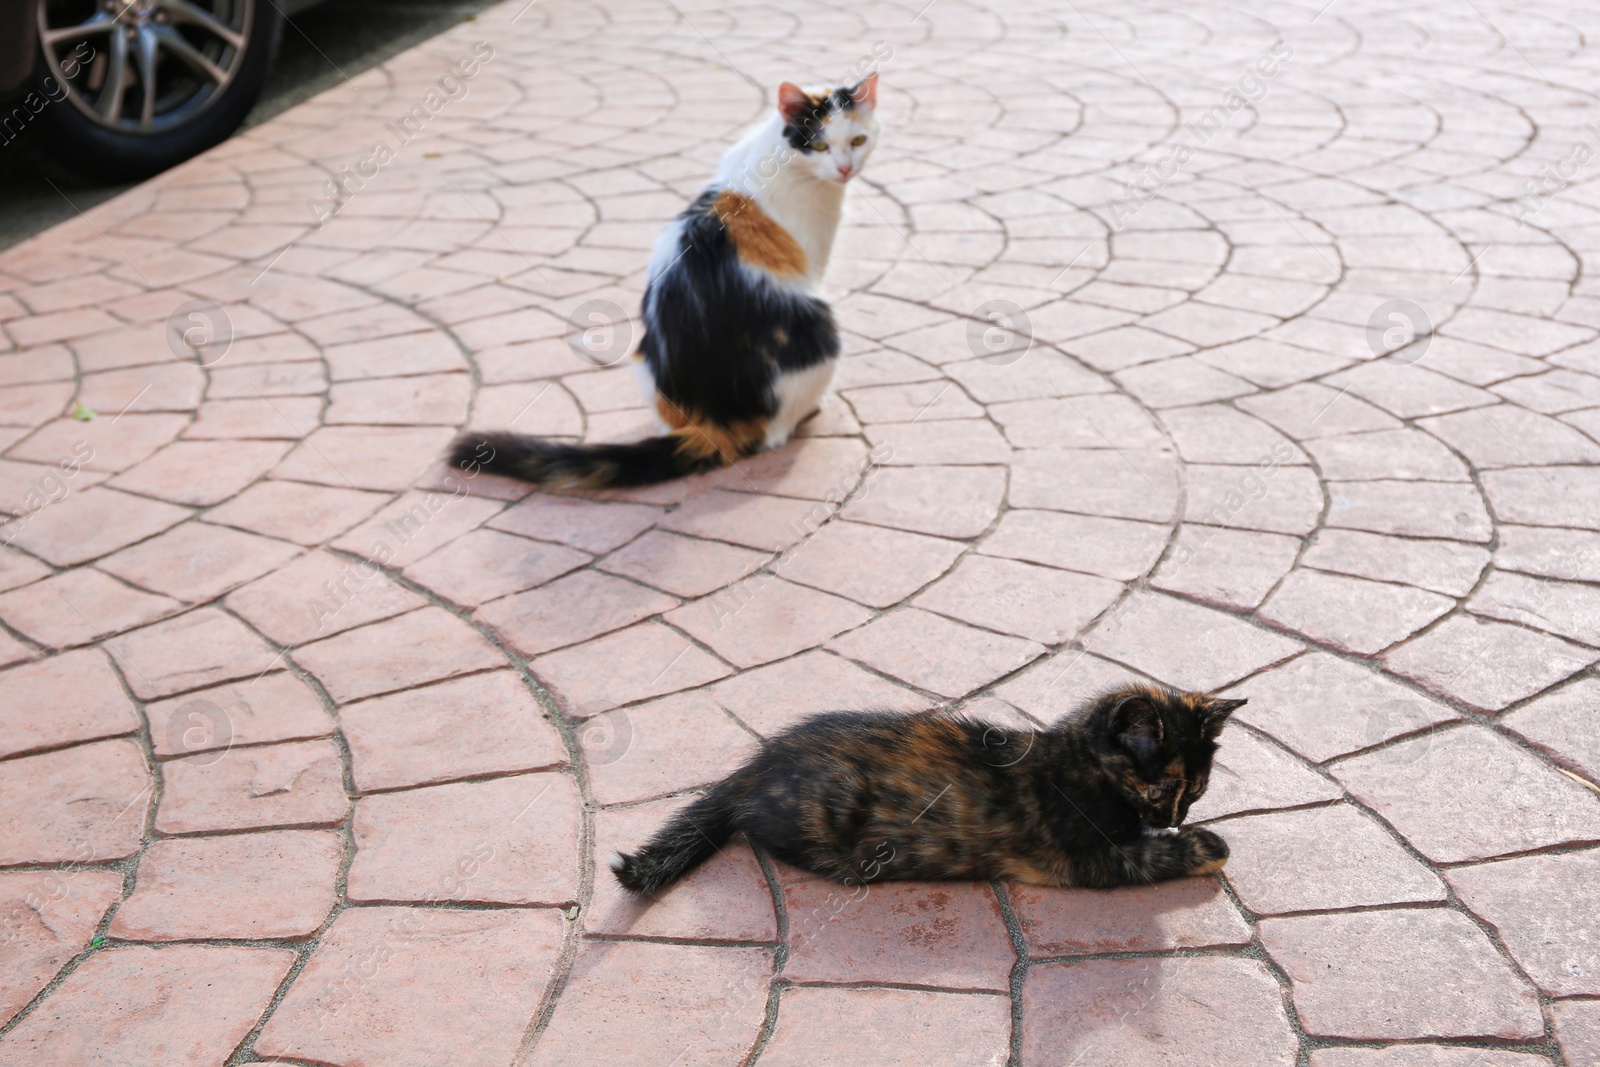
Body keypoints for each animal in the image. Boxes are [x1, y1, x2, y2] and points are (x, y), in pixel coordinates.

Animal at [448, 73, 889, 489]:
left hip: (643, 359)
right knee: (776, 433)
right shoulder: (815, 258)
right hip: (822, 330)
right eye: (820, 146)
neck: (782, 159)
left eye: (858, 140)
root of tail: (716, 423)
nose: (845, 168)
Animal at [604, 684, 1241, 895]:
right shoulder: (1077, 860)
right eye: (1162, 789)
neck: (1077, 764)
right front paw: (1209, 847)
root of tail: (756, 764)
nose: (1175, 819)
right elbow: (1152, 857)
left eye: (1197, 789)